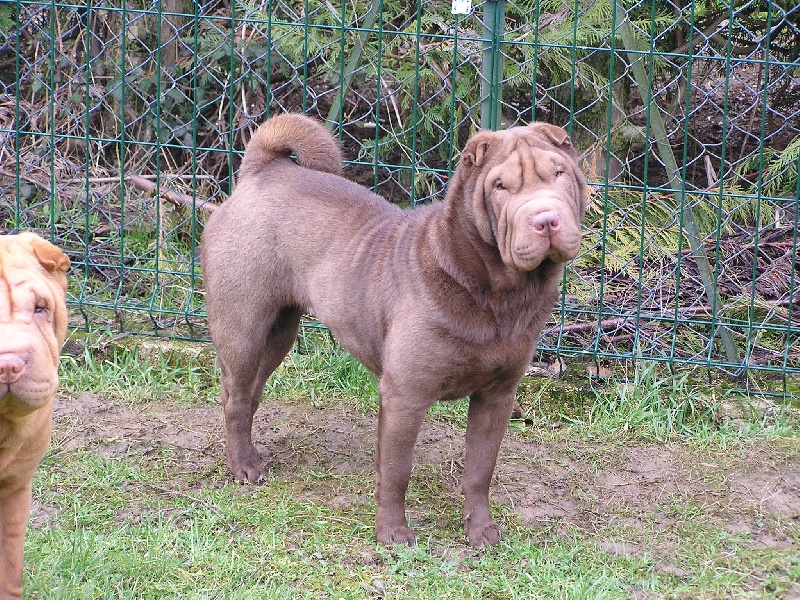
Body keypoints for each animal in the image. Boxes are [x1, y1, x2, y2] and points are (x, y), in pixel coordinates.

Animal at [200, 113, 588, 548]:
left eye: (559, 174)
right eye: (501, 187)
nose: (546, 219)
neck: (498, 295)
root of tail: (261, 172)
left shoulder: (497, 396)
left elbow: (479, 470)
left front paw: (481, 531)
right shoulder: (406, 395)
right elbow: (397, 470)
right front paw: (393, 534)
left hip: (280, 331)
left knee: (250, 392)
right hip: (244, 325)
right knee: (235, 396)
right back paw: (244, 468)